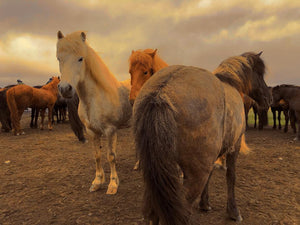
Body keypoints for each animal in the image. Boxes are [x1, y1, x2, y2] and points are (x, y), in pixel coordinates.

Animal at [56, 30, 131, 194]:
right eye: (59, 58)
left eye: (80, 58)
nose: (65, 89)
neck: (95, 99)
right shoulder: (91, 131)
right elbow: (97, 156)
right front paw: (97, 181)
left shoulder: (110, 130)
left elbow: (111, 156)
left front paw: (113, 184)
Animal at [132, 51, 270, 225]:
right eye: (259, 73)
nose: (269, 98)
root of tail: (160, 93)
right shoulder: (235, 145)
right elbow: (231, 176)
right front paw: (233, 212)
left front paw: (205, 204)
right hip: (195, 174)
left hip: (156, 175)